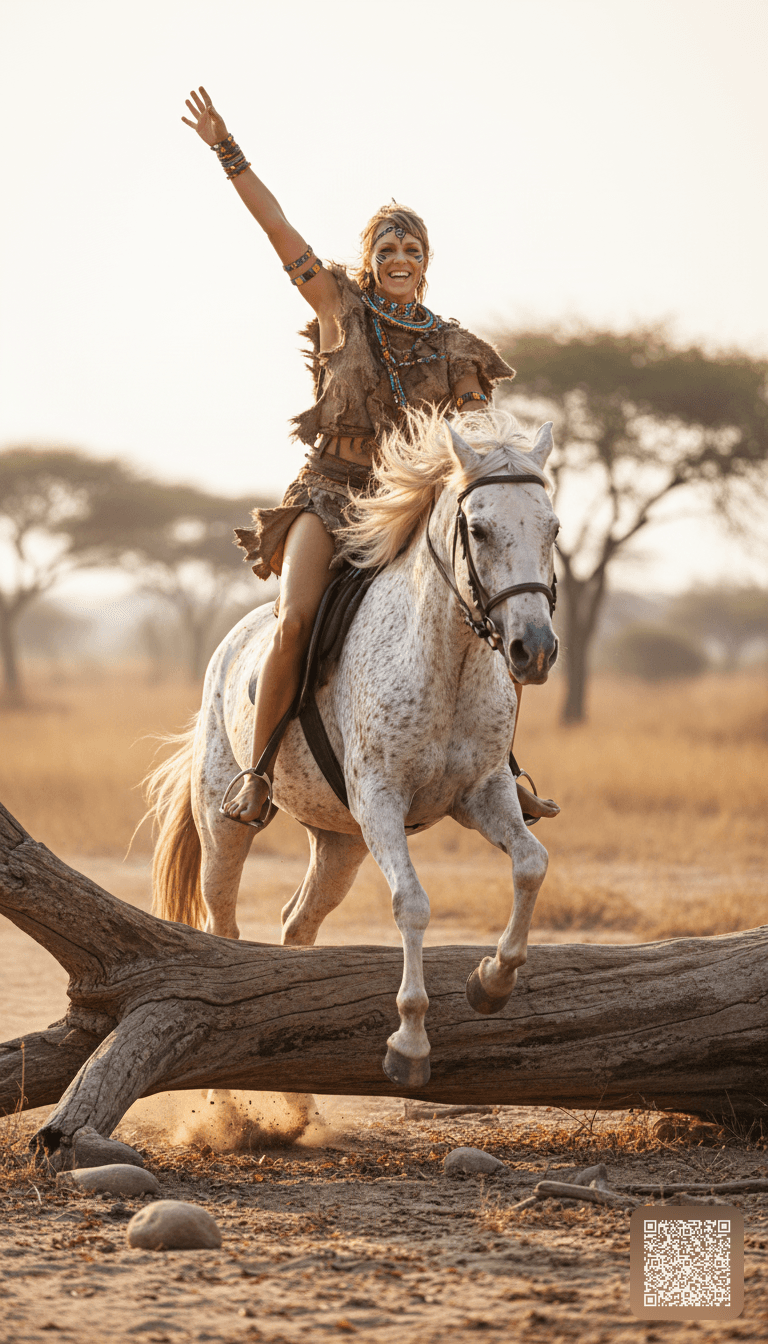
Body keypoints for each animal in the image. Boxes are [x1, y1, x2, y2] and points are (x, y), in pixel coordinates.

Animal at [147, 408, 559, 1088]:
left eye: (553, 528)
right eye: (478, 529)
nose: (535, 649)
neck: (447, 662)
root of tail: (230, 644)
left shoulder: (482, 794)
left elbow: (531, 864)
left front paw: (491, 982)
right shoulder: (381, 804)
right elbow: (412, 904)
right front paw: (410, 1045)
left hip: (340, 844)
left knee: (298, 923)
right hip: (224, 824)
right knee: (223, 921)